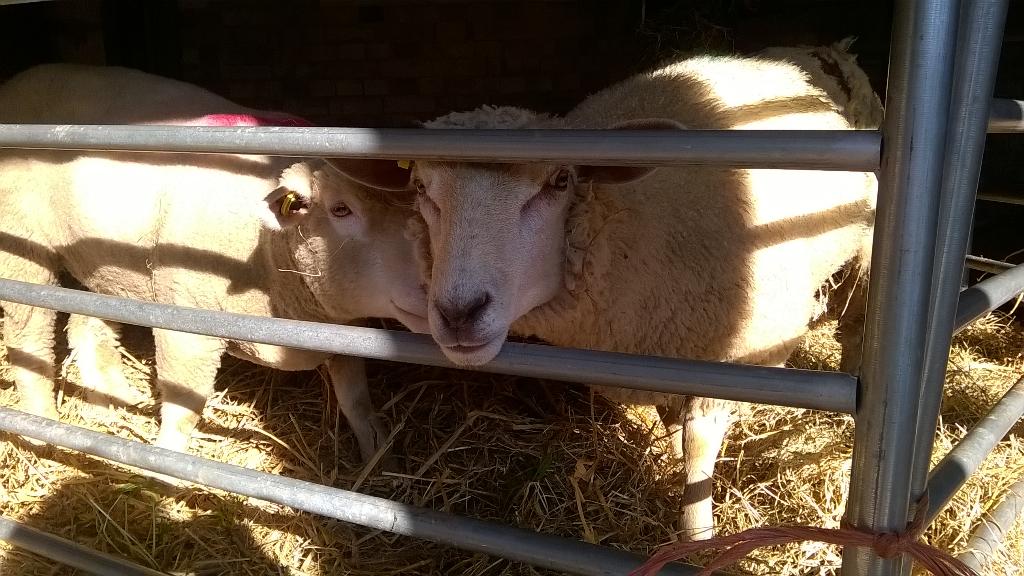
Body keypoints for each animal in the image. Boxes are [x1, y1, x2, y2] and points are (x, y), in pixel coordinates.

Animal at [0, 64, 427, 462]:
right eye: (341, 209)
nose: (433, 291)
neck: (269, 250)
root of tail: (20, 79)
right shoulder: (186, 325)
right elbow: (182, 413)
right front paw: (164, 470)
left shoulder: (346, 330)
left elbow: (356, 399)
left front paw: (378, 451)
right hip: (21, 247)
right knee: (30, 336)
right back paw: (42, 427)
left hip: (106, 268)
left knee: (86, 327)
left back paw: (111, 400)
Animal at [334, 53, 878, 539]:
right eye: (421, 188)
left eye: (560, 180)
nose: (459, 312)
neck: (632, 231)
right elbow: (668, 423)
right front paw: (664, 454)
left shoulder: (732, 358)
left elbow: (699, 447)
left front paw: (697, 534)